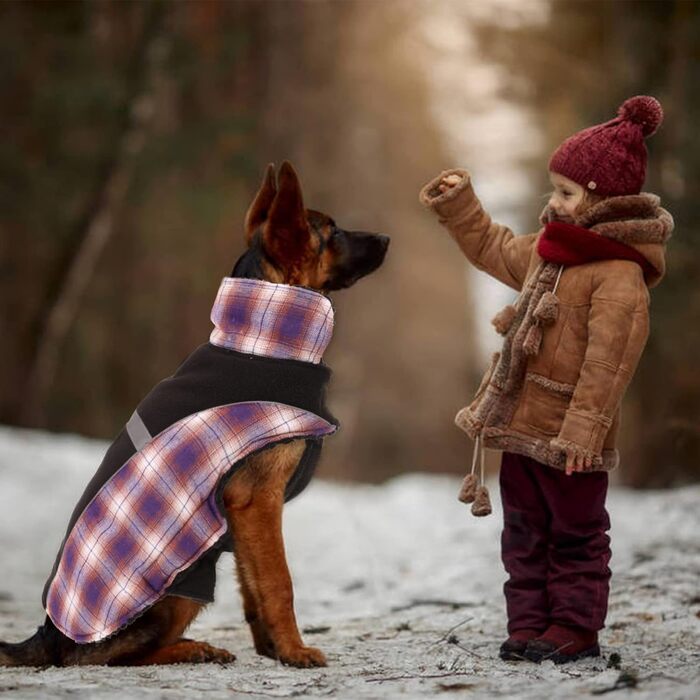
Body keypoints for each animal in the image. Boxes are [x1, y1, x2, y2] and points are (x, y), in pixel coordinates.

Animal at [0, 163, 388, 668]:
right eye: (334, 232)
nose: (386, 237)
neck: (259, 343)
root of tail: (48, 635)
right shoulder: (258, 501)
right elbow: (279, 582)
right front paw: (294, 651)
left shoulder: (242, 519)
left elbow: (253, 586)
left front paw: (271, 650)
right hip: (183, 584)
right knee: (114, 656)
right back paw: (193, 648)